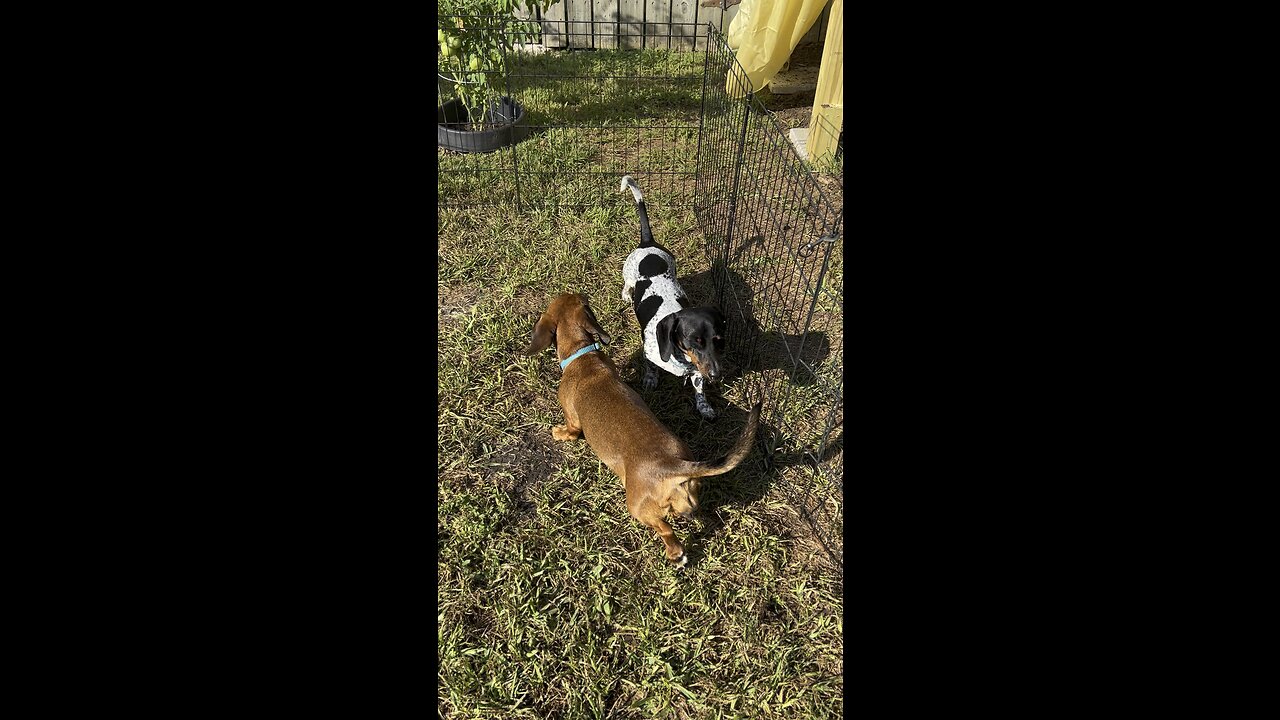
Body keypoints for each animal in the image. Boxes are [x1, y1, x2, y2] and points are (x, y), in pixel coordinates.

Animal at [622, 174, 727, 420]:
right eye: (694, 341)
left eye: (718, 339)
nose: (716, 375)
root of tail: (647, 243)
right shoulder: (648, 351)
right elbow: (651, 366)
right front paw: (651, 379)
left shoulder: (697, 369)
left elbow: (699, 387)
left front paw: (704, 406)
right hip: (627, 273)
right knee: (627, 285)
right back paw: (626, 295)